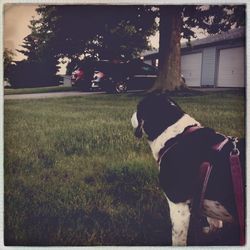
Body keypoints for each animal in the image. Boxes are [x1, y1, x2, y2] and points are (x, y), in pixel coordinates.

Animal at [132, 93, 245, 245]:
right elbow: (215, 222)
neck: (175, 136)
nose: (132, 114)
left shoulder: (178, 206)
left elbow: (178, 237)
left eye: (138, 108)